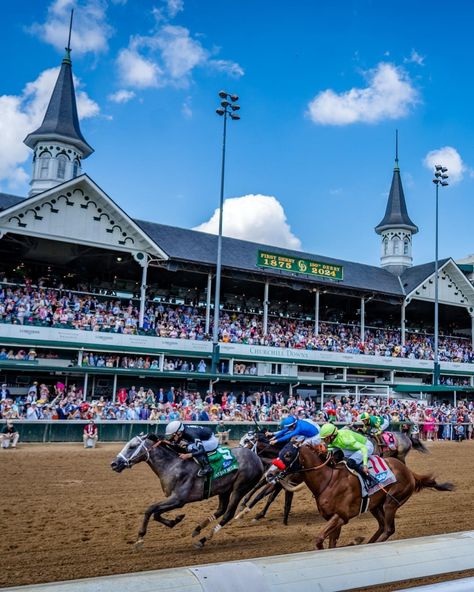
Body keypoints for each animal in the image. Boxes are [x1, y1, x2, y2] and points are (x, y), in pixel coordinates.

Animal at [113, 432, 264, 548]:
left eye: (132, 446)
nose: (114, 464)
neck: (173, 465)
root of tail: (257, 458)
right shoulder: (174, 499)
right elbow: (156, 513)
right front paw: (176, 520)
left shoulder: (179, 499)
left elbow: (150, 509)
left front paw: (140, 538)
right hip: (224, 489)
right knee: (221, 509)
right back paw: (198, 529)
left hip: (240, 488)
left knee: (228, 514)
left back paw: (202, 540)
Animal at [278, 440, 456, 552]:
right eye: (280, 452)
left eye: (288, 454)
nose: (274, 471)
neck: (327, 481)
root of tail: (409, 472)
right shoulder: (333, 518)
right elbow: (331, 543)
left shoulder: (341, 516)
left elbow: (320, 538)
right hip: (375, 506)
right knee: (383, 526)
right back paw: (366, 543)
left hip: (391, 502)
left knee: (389, 529)